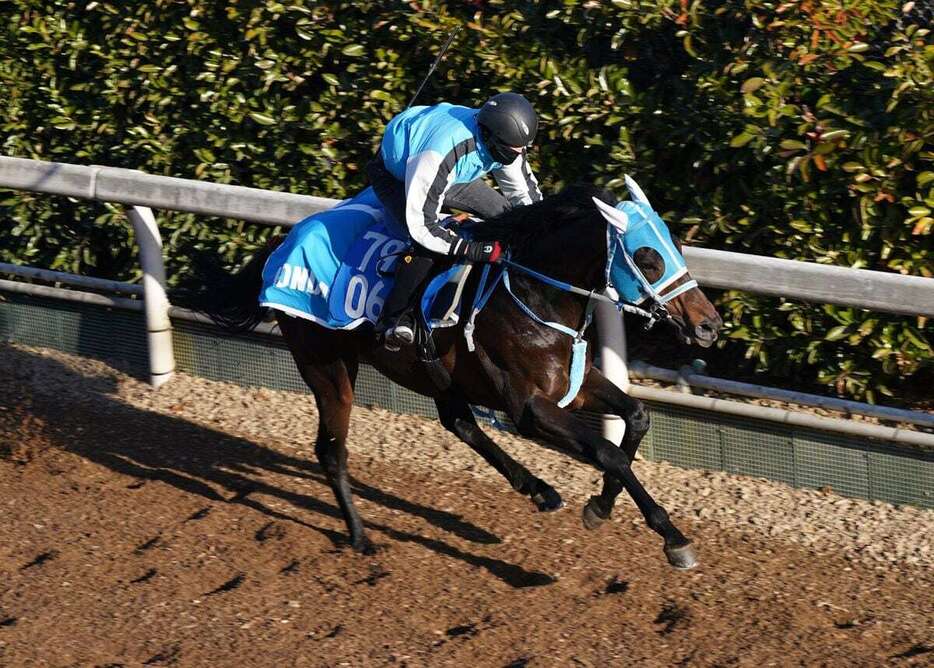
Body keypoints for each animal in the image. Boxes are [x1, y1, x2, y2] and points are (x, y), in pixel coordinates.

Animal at [183, 181, 724, 568]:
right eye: (648, 257)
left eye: (676, 246)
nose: (709, 325)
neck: (533, 291)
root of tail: (284, 240)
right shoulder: (529, 409)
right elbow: (609, 453)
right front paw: (672, 537)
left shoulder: (573, 384)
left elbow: (636, 419)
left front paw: (601, 506)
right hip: (326, 363)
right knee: (332, 451)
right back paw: (360, 537)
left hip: (430, 373)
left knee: (459, 422)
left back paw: (538, 489)